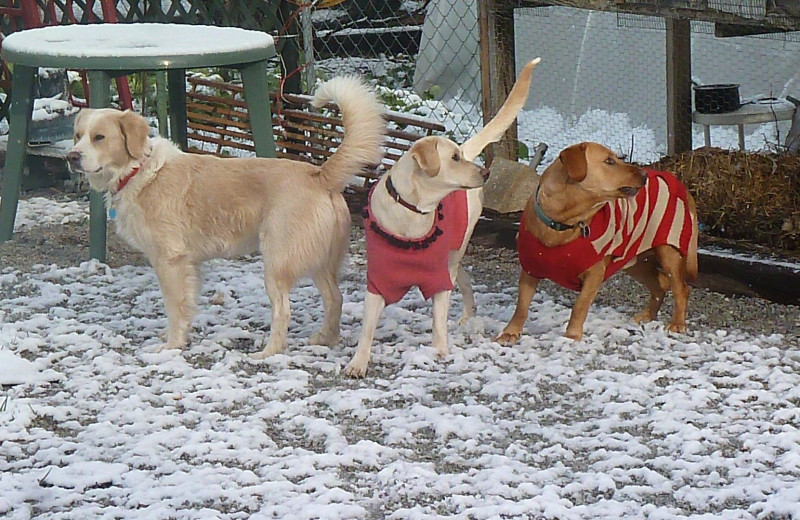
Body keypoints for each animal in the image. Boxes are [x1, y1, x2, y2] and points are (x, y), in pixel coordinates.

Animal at [67, 77, 386, 360]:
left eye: (99, 137)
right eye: (78, 135)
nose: (71, 157)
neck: (139, 170)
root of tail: (319, 174)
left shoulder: (170, 261)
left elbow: (174, 308)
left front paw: (171, 345)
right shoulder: (189, 265)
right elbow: (186, 307)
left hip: (277, 263)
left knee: (283, 310)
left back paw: (268, 353)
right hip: (318, 262)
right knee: (335, 298)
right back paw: (324, 339)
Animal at [344, 58, 544, 378]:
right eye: (454, 158)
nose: (486, 173)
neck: (412, 215)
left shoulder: (438, 278)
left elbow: (438, 318)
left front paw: (439, 351)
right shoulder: (377, 283)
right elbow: (367, 328)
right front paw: (358, 362)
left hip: (454, 251)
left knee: (458, 279)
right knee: (462, 278)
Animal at [496, 141, 696, 346]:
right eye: (609, 161)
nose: (645, 174)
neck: (563, 223)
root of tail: (678, 183)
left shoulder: (594, 273)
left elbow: (580, 306)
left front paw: (572, 335)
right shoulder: (530, 268)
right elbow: (522, 305)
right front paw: (511, 331)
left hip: (669, 252)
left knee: (681, 289)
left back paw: (677, 324)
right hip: (634, 260)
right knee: (660, 284)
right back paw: (648, 315)